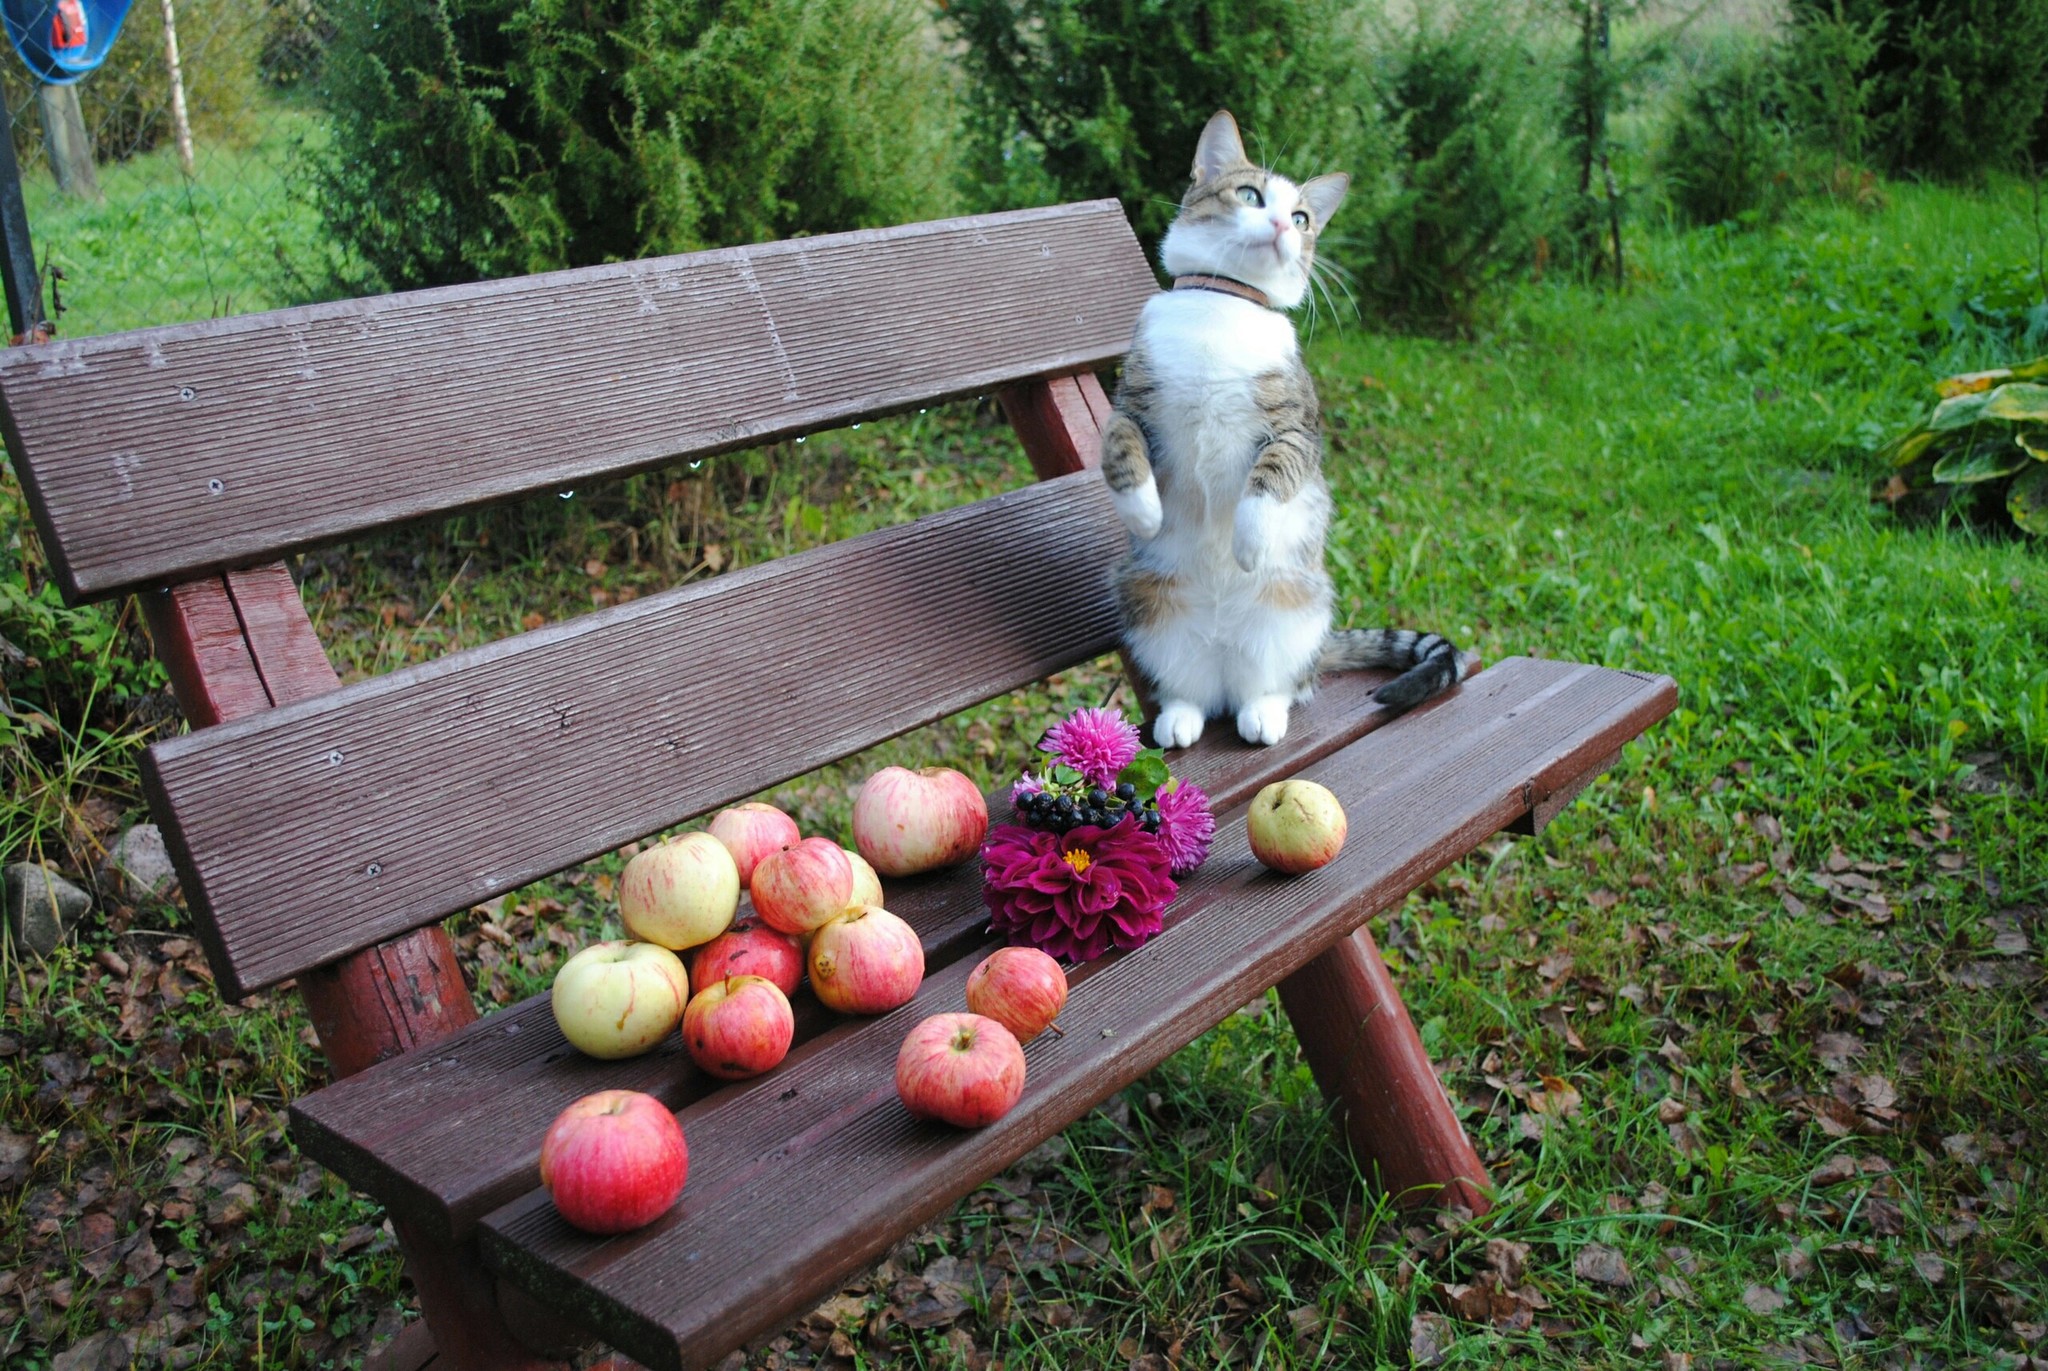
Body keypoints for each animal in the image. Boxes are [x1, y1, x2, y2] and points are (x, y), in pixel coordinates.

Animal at [1105, 107, 1474, 750]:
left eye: (1302, 217)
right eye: (1251, 194)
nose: (1282, 223)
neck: (1222, 311)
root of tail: (1225, 671)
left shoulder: (1296, 427)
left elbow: (1272, 476)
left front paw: (1249, 541)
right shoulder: (1132, 402)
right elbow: (1119, 450)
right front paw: (1145, 513)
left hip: (1296, 614)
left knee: (1279, 685)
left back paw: (1264, 711)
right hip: (1150, 612)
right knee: (1187, 687)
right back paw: (1180, 715)